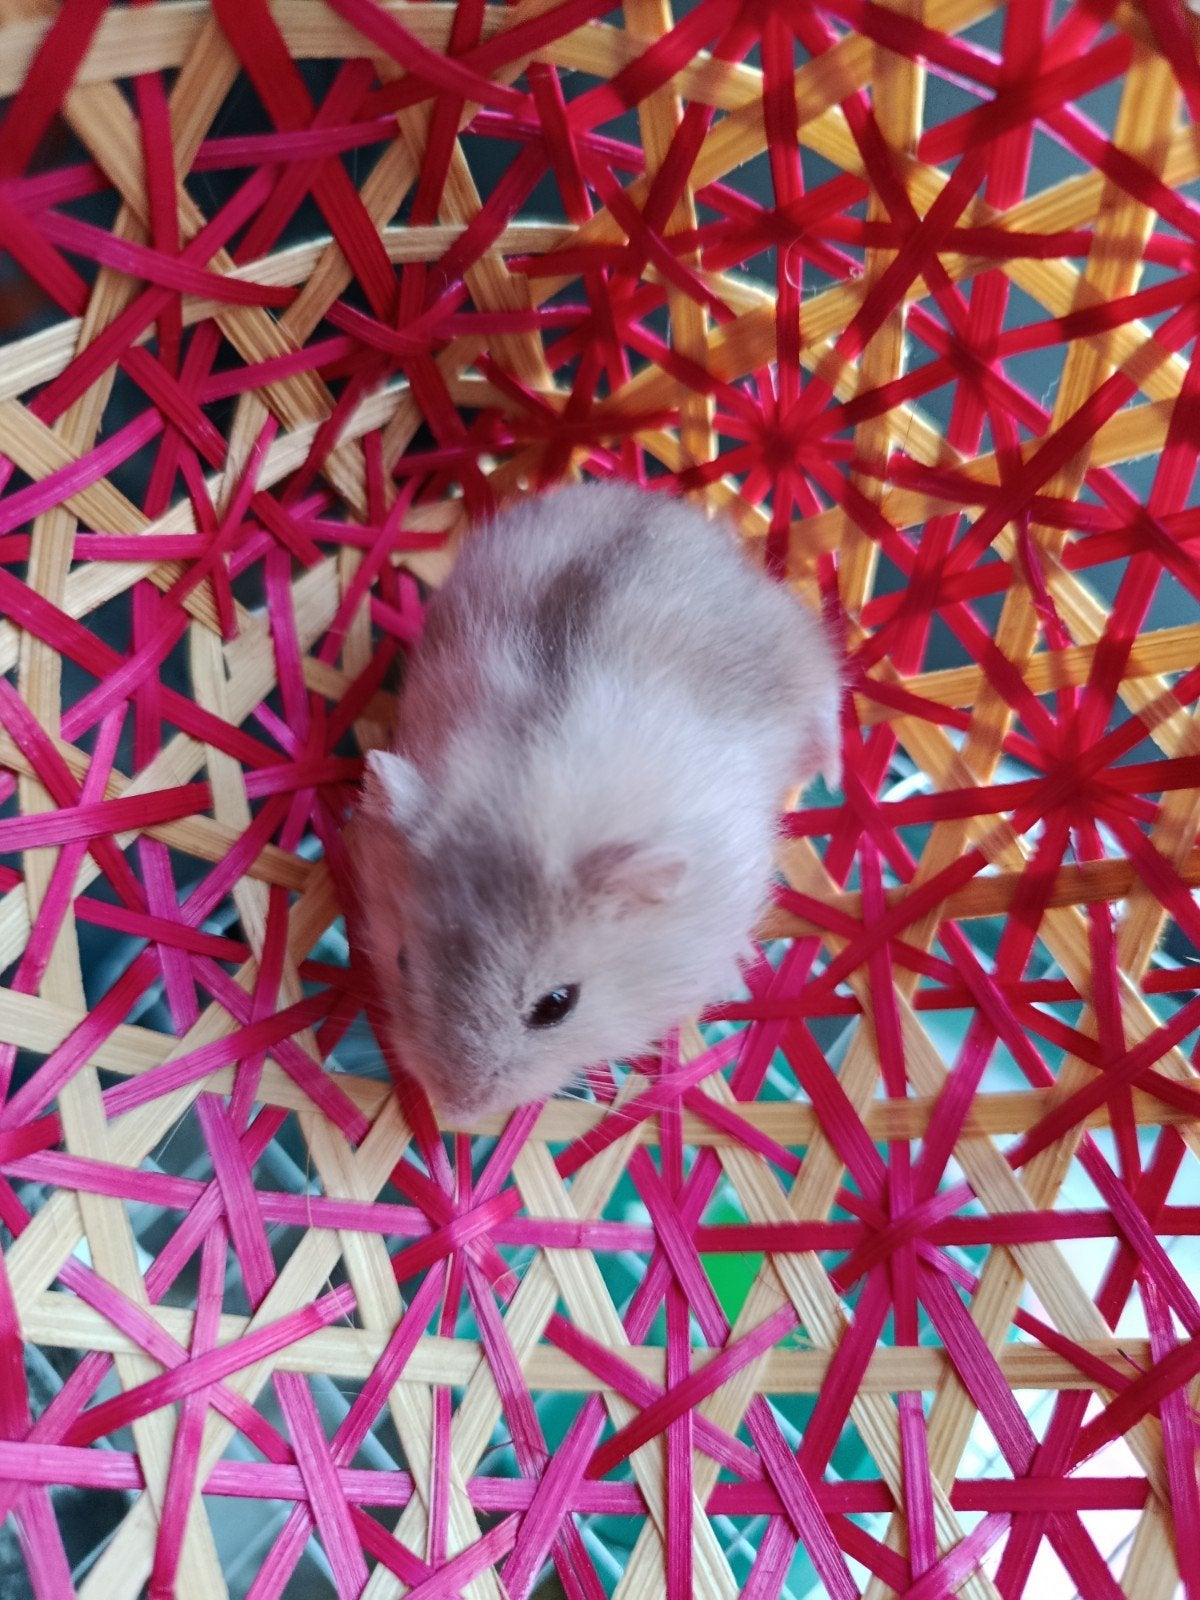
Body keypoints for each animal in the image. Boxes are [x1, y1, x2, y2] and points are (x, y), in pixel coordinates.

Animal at [350, 480, 841, 1121]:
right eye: (402, 961)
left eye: (557, 1004)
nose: (458, 1113)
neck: (529, 794)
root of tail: (676, 513)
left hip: (801, 656)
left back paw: (830, 769)